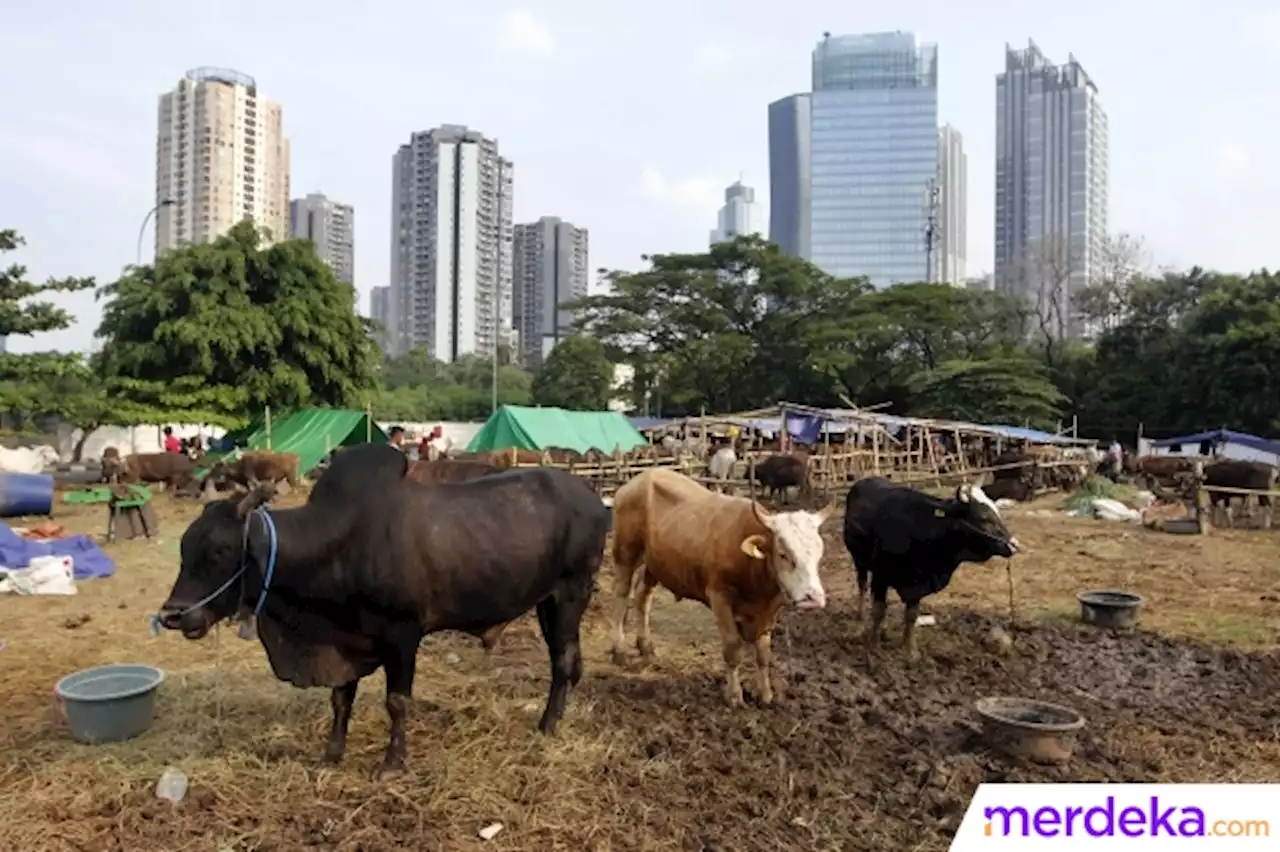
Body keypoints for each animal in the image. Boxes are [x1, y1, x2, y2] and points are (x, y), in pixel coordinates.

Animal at [156, 440, 609, 772]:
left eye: (220, 550)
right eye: (184, 548)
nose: (173, 615)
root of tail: (592, 497)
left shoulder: (401, 636)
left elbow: (397, 702)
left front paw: (392, 763)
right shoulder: (342, 640)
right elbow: (340, 700)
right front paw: (331, 755)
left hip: (571, 594)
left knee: (563, 662)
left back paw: (547, 726)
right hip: (548, 602)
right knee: (566, 661)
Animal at [611, 465, 839, 701]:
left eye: (819, 553)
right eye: (784, 554)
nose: (813, 597)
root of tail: (643, 477)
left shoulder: (769, 611)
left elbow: (763, 653)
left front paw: (765, 693)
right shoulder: (720, 597)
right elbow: (733, 649)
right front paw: (734, 695)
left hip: (654, 563)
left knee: (642, 597)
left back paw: (645, 645)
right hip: (625, 552)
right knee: (621, 594)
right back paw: (619, 649)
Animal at [844, 478, 1013, 665]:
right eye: (984, 518)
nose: (1013, 544)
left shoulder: (917, 584)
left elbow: (911, 616)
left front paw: (910, 651)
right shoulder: (881, 576)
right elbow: (878, 610)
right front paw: (873, 647)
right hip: (859, 560)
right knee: (862, 586)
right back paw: (861, 618)